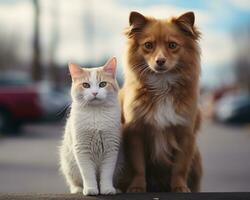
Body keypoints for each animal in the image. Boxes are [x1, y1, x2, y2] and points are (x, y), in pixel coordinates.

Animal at [59, 57, 120, 195]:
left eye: (103, 84)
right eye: (86, 85)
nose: (95, 93)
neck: (95, 113)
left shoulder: (111, 148)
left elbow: (107, 174)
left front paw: (107, 189)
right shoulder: (82, 148)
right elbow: (88, 174)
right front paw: (91, 190)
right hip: (69, 166)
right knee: (74, 183)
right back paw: (78, 189)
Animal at [118, 10, 202, 192]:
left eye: (172, 45)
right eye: (148, 45)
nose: (160, 61)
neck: (162, 84)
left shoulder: (185, 134)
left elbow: (180, 167)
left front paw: (179, 187)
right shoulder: (135, 133)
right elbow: (138, 166)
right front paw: (137, 187)